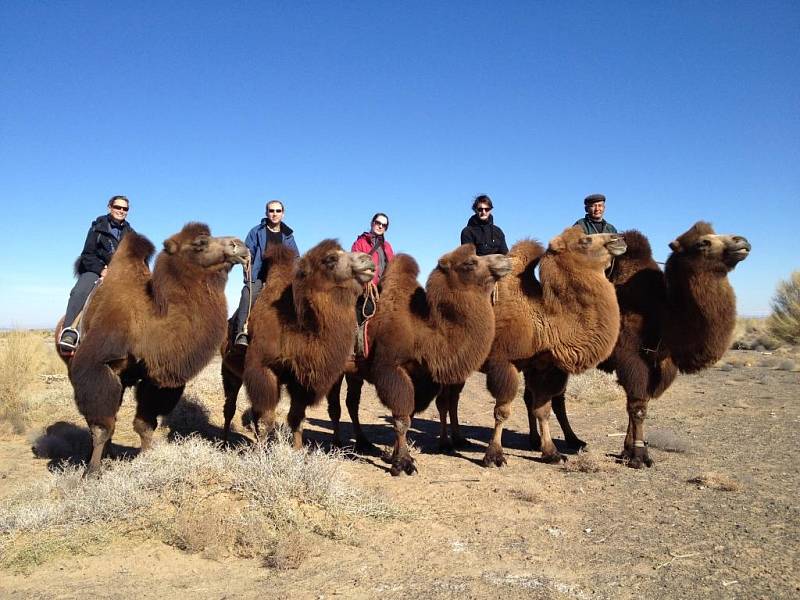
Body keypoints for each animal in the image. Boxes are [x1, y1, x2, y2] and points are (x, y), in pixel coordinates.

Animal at [61, 224, 247, 474]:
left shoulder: (155, 378)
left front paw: (148, 460)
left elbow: (144, 424)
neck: (147, 321)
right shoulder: (95, 366)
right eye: (200, 243)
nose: (240, 245)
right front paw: (91, 472)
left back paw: (111, 454)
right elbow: (101, 427)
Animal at [220, 239, 376, 446]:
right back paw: (224, 442)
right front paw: (261, 450)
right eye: (331, 258)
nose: (368, 260)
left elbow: (296, 418)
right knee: (230, 406)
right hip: (229, 370)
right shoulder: (263, 368)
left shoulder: (300, 381)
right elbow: (267, 417)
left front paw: (297, 450)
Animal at [332, 246, 512, 476]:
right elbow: (401, 419)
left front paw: (393, 456)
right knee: (335, 404)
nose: (503, 259)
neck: (423, 333)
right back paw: (336, 443)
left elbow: (407, 415)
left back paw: (363, 443)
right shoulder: (391, 368)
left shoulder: (419, 376)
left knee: (351, 402)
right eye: (469, 263)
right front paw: (403, 463)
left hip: (354, 370)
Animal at [434, 225, 628, 464]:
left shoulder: (542, 367)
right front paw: (494, 455)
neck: (544, 318)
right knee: (444, 400)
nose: (619, 238)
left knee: (453, 398)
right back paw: (445, 443)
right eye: (585, 241)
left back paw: (460, 439)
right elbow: (502, 411)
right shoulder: (504, 362)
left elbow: (542, 409)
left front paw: (552, 452)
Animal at [544, 221, 752, 468]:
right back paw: (571, 441)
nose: (742, 241)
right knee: (555, 398)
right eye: (703, 243)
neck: (662, 313)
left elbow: (637, 405)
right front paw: (640, 456)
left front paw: (627, 451)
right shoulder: (630, 358)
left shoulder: (662, 363)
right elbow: (638, 407)